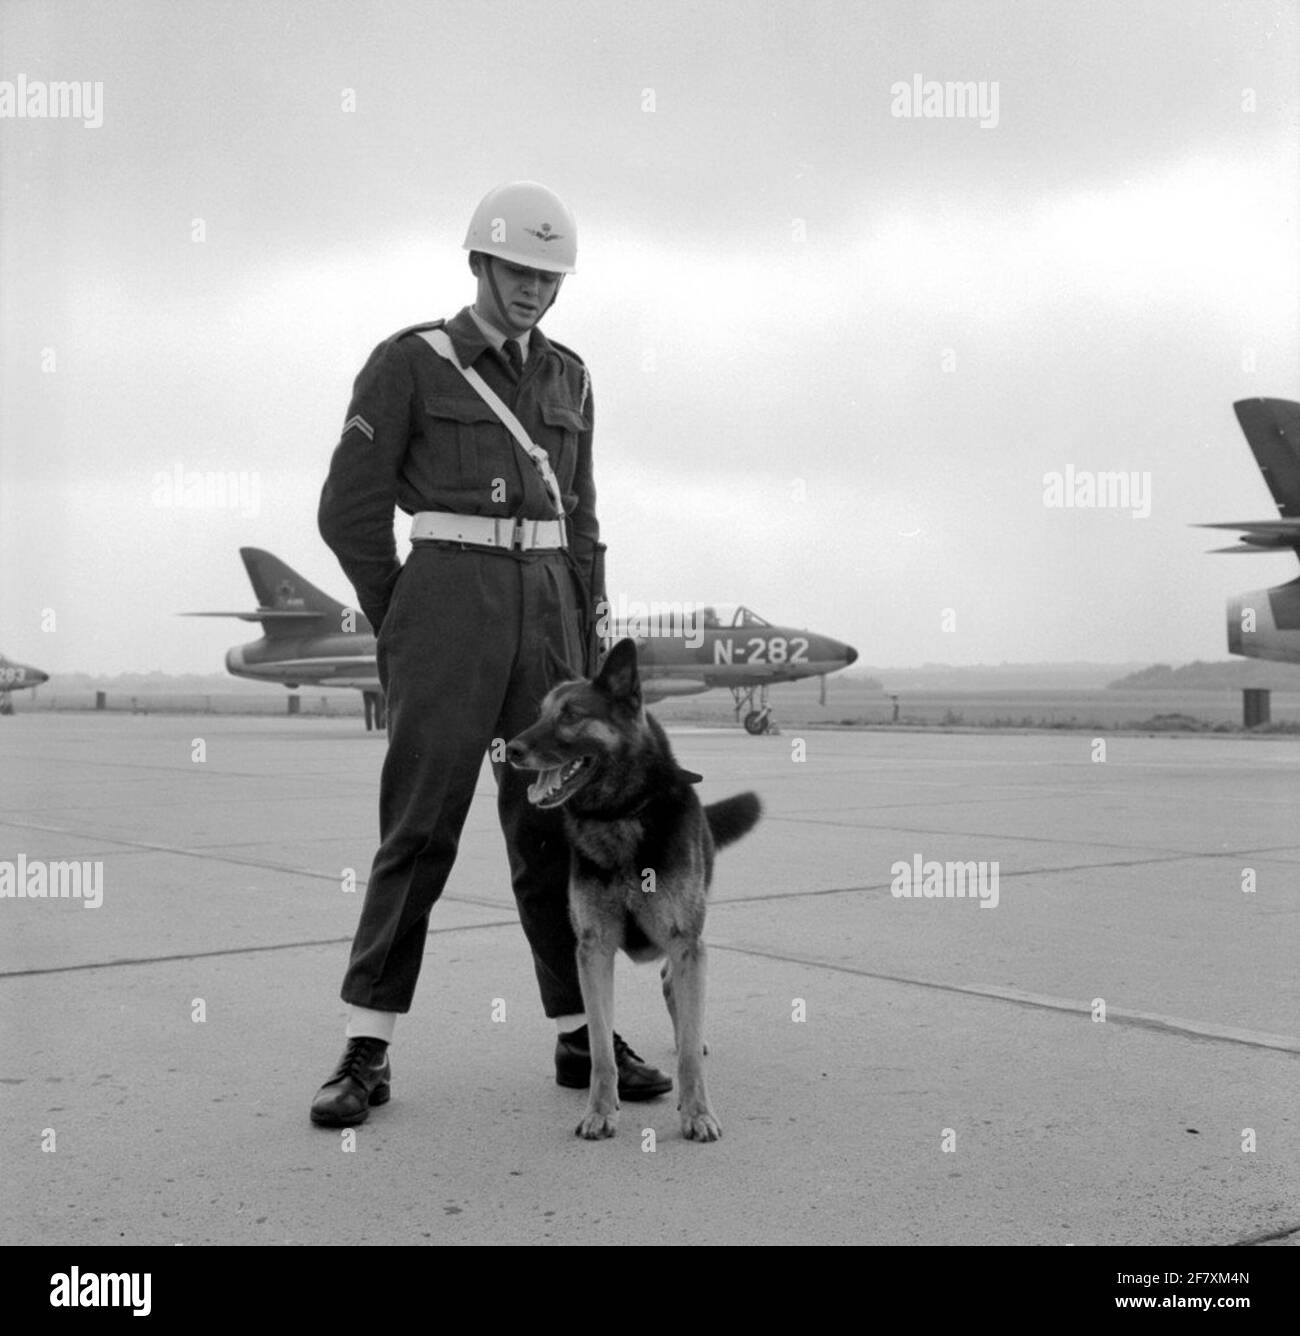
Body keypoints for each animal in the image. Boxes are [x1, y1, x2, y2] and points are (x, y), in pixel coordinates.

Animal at [502, 635, 753, 1138]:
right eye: (540, 713)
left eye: (571, 715)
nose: (512, 749)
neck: (618, 814)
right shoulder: (592, 951)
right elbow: (600, 1047)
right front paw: (600, 1110)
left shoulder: (686, 943)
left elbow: (690, 1054)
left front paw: (697, 1112)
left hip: (687, 946)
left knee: (679, 998)